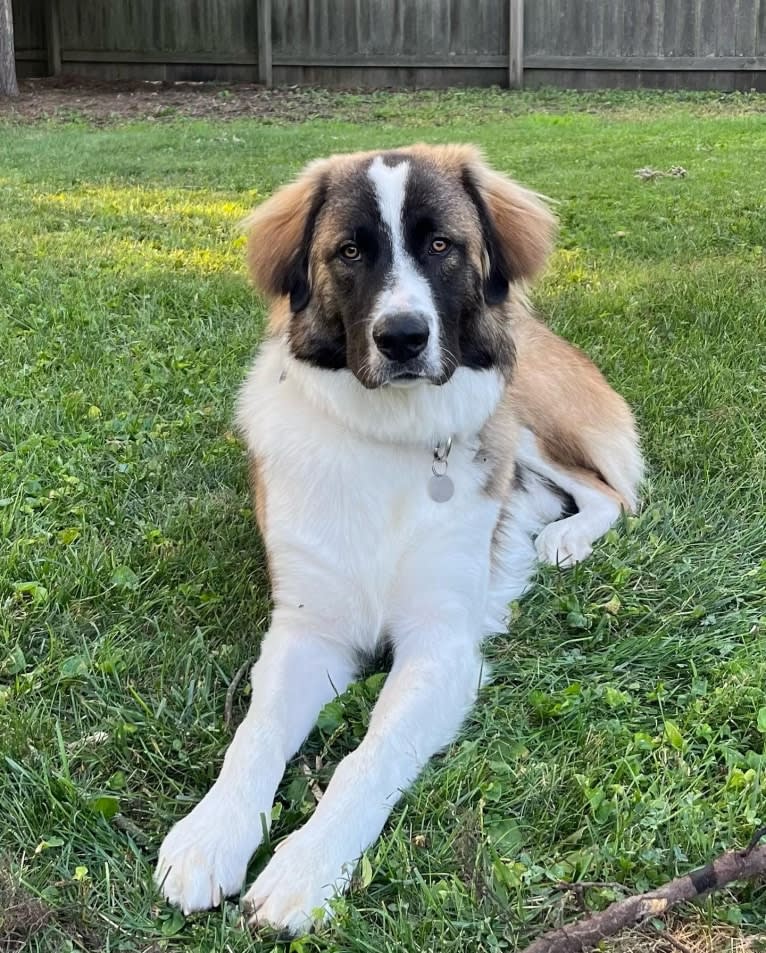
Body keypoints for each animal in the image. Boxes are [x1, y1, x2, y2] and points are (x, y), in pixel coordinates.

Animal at [154, 141, 640, 928]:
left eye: (441, 245)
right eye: (350, 251)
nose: (404, 337)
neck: (390, 437)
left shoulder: (440, 647)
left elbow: (369, 754)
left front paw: (307, 865)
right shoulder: (307, 630)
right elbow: (255, 734)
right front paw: (211, 833)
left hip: (523, 416)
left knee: (609, 490)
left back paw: (561, 540)